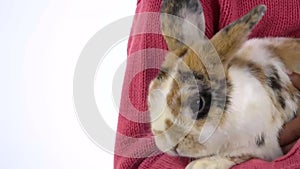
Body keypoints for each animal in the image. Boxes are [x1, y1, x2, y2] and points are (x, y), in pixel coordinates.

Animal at [147, 0, 300, 168]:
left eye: (199, 103)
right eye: (151, 98)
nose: (171, 145)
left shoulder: (263, 146)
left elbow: (235, 156)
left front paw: (200, 165)